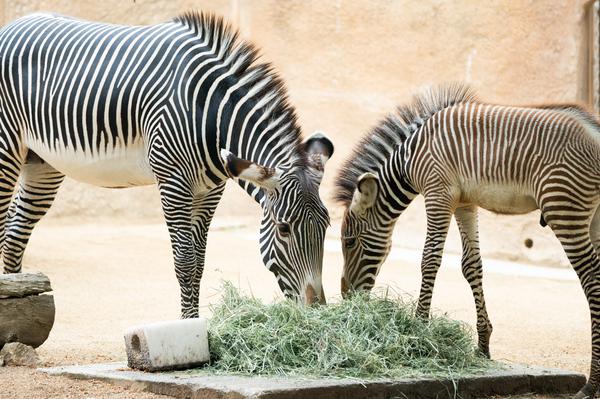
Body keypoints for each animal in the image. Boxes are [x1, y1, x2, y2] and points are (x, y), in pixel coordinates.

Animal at [0, 12, 336, 318]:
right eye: (284, 228)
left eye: (326, 225)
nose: (317, 310)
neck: (209, 115)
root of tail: (13, 25)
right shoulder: (173, 182)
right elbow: (185, 261)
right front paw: (188, 326)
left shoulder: (210, 190)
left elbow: (199, 261)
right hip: (6, 146)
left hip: (42, 163)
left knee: (16, 230)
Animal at [338, 85, 600, 399]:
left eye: (349, 243)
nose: (346, 296)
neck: (410, 156)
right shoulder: (464, 202)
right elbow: (471, 265)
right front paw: (482, 346)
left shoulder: (438, 194)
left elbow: (430, 259)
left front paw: (419, 329)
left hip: (563, 207)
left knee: (591, 278)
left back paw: (591, 383)